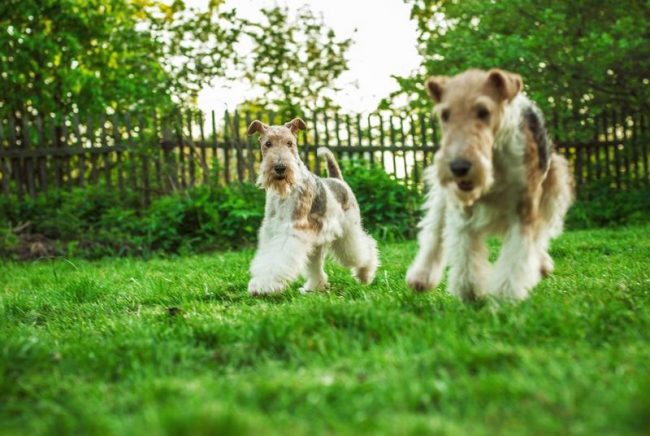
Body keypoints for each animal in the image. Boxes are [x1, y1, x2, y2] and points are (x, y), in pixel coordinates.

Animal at [244, 117, 378, 294]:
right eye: (268, 143)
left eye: (290, 143)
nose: (280, 168)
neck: (284, 193)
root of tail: (338, 180)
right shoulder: (272, 229)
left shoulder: (293, 228)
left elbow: (276, 258)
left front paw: (264, 285)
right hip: (317, 241)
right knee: (316, 266)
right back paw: (315, 287)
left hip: (348, 231)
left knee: (364, 248)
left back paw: (365, 275)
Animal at [404, 70, 572, 300]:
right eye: (445, 115)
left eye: (483, 112)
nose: (459, 167)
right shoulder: (463, 210)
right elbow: (466, 250)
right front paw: (470, 291)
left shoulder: (525, 207)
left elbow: (518, 254)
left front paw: (505, 295)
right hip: (442, 198)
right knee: (434, 233)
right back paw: (421, 277)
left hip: (554, 188)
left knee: (541, 236)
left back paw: (542, 264)